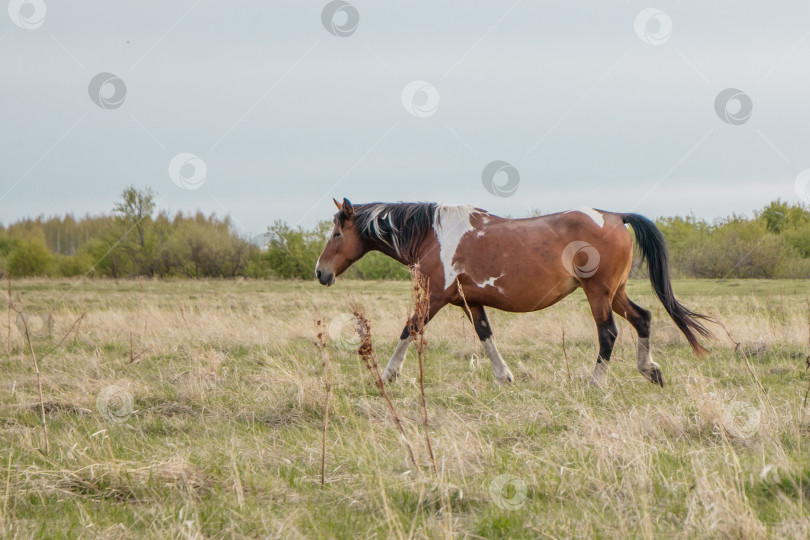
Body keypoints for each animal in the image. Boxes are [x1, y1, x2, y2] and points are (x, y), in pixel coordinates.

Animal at [312, 196, 712, 386]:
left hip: (598, 294)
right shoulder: (470, 302)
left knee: (609, 333)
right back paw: (650, 370)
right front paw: (504, 376)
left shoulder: (434, 298)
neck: (431, 235)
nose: (320, 272)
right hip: (615, 293)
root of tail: (614, 216)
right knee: (643, 318)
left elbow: (409, 329)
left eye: (337, 233)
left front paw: (388, 375)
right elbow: (485, 335)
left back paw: (595, 383)